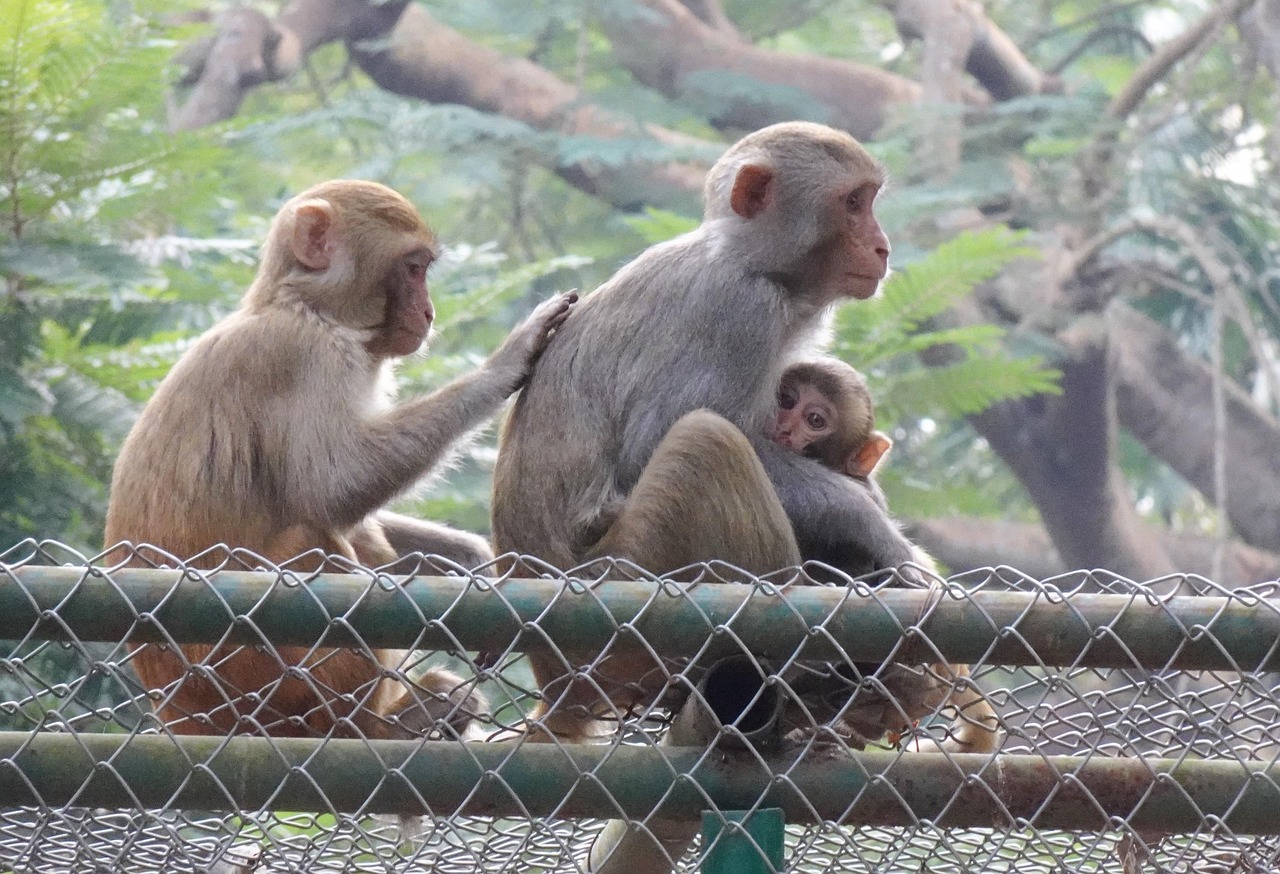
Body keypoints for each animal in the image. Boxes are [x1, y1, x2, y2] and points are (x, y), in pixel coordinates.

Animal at [103, 179, 577, 740]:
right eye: (413, 268)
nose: (429, 313)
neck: (304, 307)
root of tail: (180, 715)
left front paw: (465, 558)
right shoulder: (304, 356)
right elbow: (330, 488)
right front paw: (506, 363)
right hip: (250, 682)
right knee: (309, 540)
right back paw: (379, 726)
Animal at [491, 121, 932, 743]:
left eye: (869, 200)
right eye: (853, 203)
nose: (882, 247)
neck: (747, 260)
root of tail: (553, 676)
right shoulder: (737, 309)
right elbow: (653, 442)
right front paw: (871, 525)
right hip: (625, 595)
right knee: (705, 441)